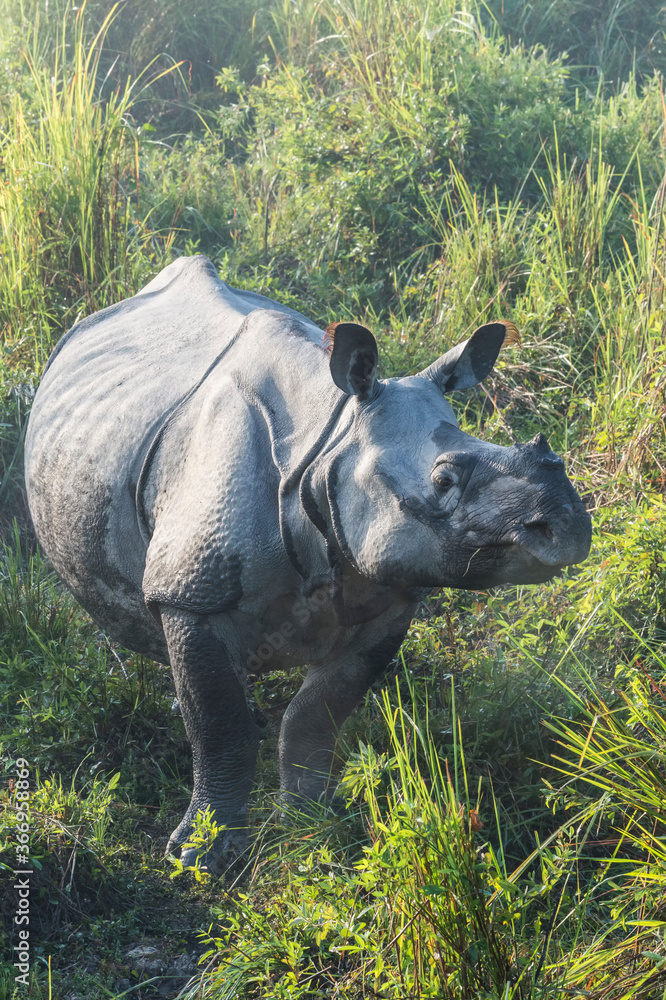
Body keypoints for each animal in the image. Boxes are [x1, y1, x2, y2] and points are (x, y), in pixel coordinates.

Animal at [25, 255, 591, 871]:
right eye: (443, 480)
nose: (566, 525)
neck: (331, 445)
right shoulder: (193, 592)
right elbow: (221, 724)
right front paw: (200, 856)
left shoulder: (386, 594)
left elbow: (317, 712)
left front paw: (313, 820)